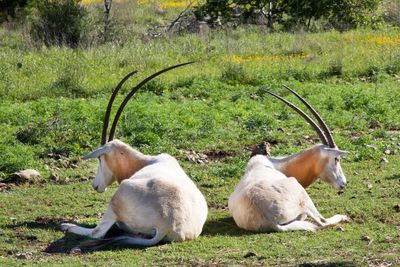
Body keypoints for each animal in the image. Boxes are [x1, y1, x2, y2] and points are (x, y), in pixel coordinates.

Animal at [61, 62, 209, 247]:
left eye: (100, 158)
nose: (95, 186)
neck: (147, 161)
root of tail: (168, 225)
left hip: (119, 195)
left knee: (97, 233)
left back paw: (67, 226)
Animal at [228, 86, 350, 232]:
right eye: (337, 159)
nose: (344, 183)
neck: (274, 164)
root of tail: (270, 221)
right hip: (301, 193)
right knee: (322, 221)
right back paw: (343, 216)